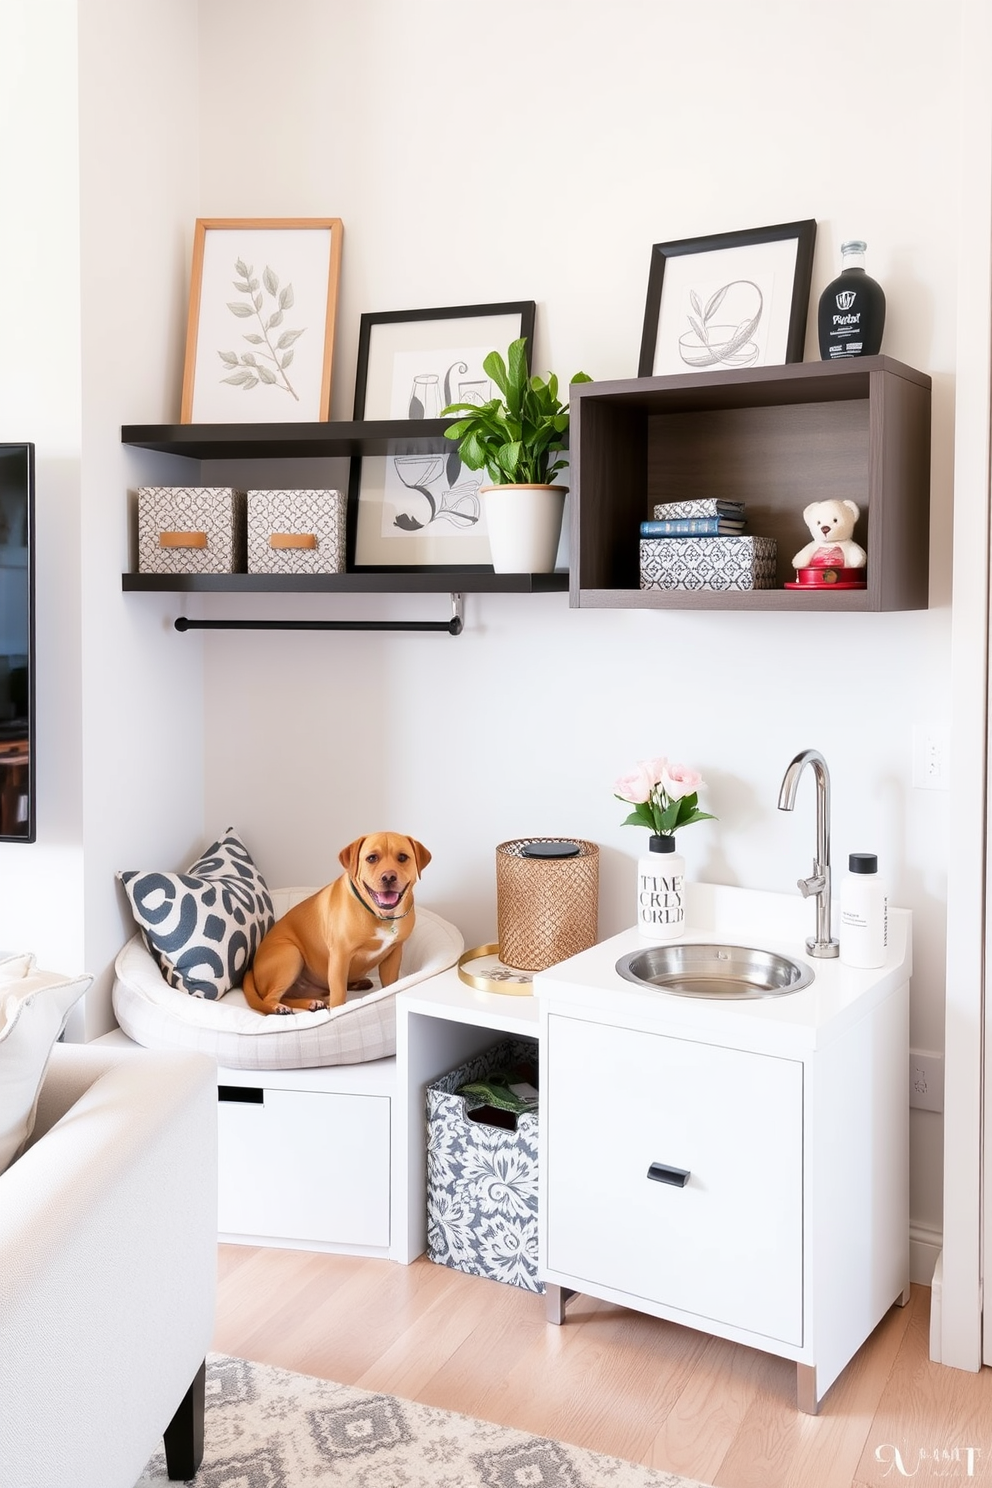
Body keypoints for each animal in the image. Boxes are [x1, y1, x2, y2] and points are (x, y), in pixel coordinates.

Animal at [242, 833, 431, 1017]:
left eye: (402, 857)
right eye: (371, 858)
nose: (389, 877)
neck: (382, 916)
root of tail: (252, 969)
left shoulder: (393, 955)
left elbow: (390, 985)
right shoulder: (340, 956)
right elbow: (339, 994)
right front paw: (339, 1010)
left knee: (290, 996)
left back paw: (316, 1001)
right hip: (291, 953)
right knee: (270, 998)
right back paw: (279, 1007)